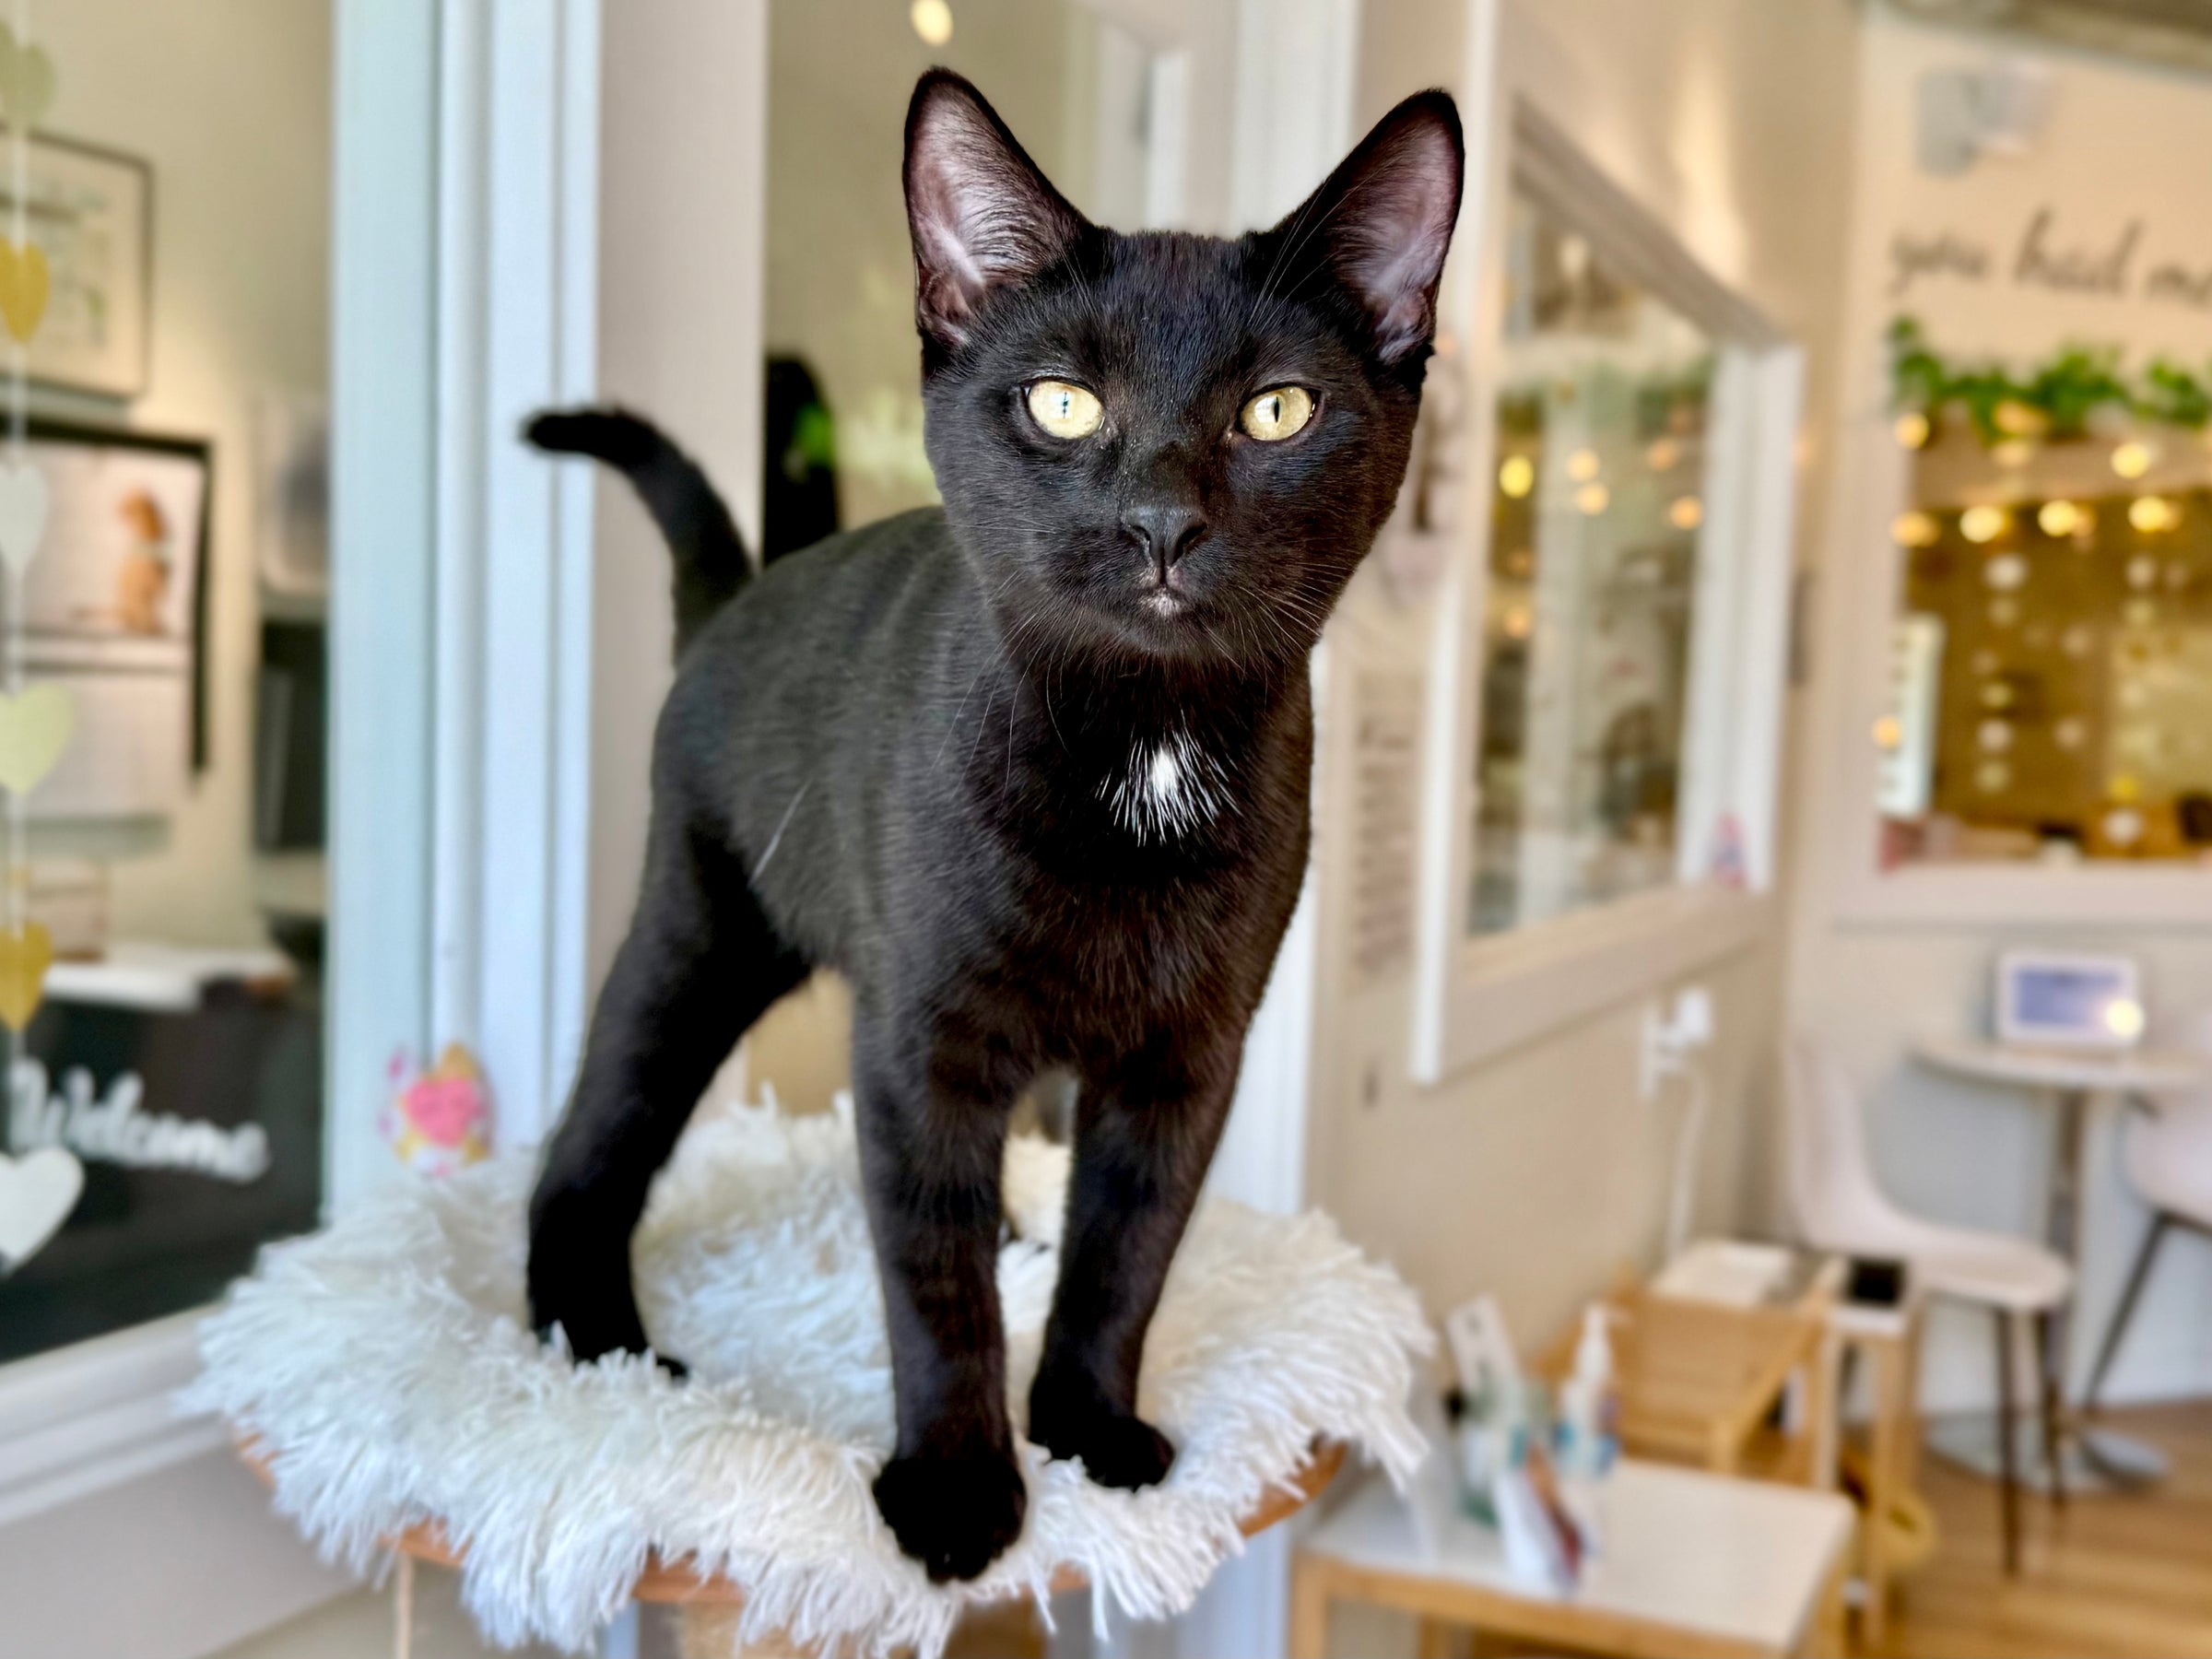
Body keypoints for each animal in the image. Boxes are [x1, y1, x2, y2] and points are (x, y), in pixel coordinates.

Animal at [525, 69, 1462, 1583]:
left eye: (1276, 411)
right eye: (1065, 404)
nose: (1160, 521)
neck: (1141, 753)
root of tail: (738, 598)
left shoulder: (1189, 1060)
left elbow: (1127, 1252)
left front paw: (1087, 1429)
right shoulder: (921, 1045)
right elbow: (933, 1275)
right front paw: (961, 1490)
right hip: (700, 925)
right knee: (596, 1127)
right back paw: (590, 1336)